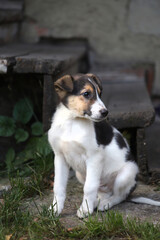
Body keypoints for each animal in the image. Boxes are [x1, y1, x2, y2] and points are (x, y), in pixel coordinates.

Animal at [48, 72, 160, 218]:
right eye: (86, 94)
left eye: (99, 93)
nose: (105, 112)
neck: (72, 122)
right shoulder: (60, 157)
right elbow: (59, 187)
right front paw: (55, 209)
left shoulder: (94, 157)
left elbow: (89, 187)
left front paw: (85, 210)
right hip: (81, 174)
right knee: (102, 192)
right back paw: (96, 202)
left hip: (126, 174)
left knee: (119, 196)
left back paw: (104, 204)